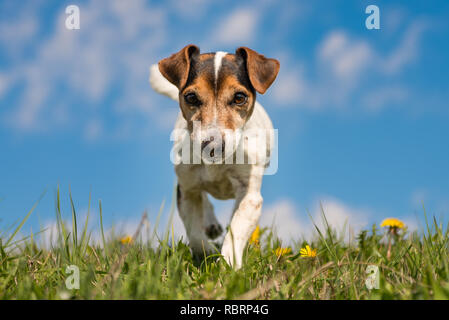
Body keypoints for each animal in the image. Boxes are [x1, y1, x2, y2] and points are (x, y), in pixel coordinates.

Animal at [149, 44, 278, 270]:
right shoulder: (186, 190)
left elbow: (236, 228)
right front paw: (207, 253)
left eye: (239, 97)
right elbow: (194, 233)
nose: (213, 146)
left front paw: (228, 265)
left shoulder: (250, 196)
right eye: (191, 97)